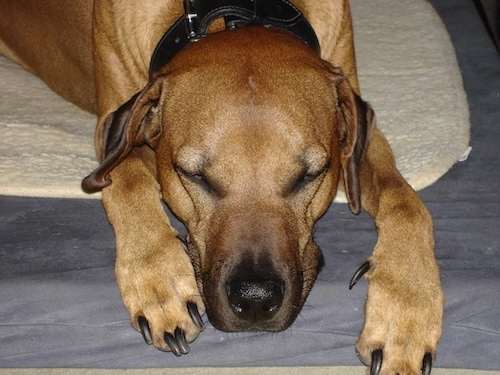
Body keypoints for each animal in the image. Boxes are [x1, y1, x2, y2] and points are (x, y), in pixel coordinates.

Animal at [0, 0, 446, 374]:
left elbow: (406, 200)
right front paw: (159, 281)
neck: (232, 11)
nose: (255, 299)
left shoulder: (363, 136)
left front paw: (407, 310)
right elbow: (126, 177)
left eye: (310, 174)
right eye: (194, 175)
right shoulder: (111, 125)